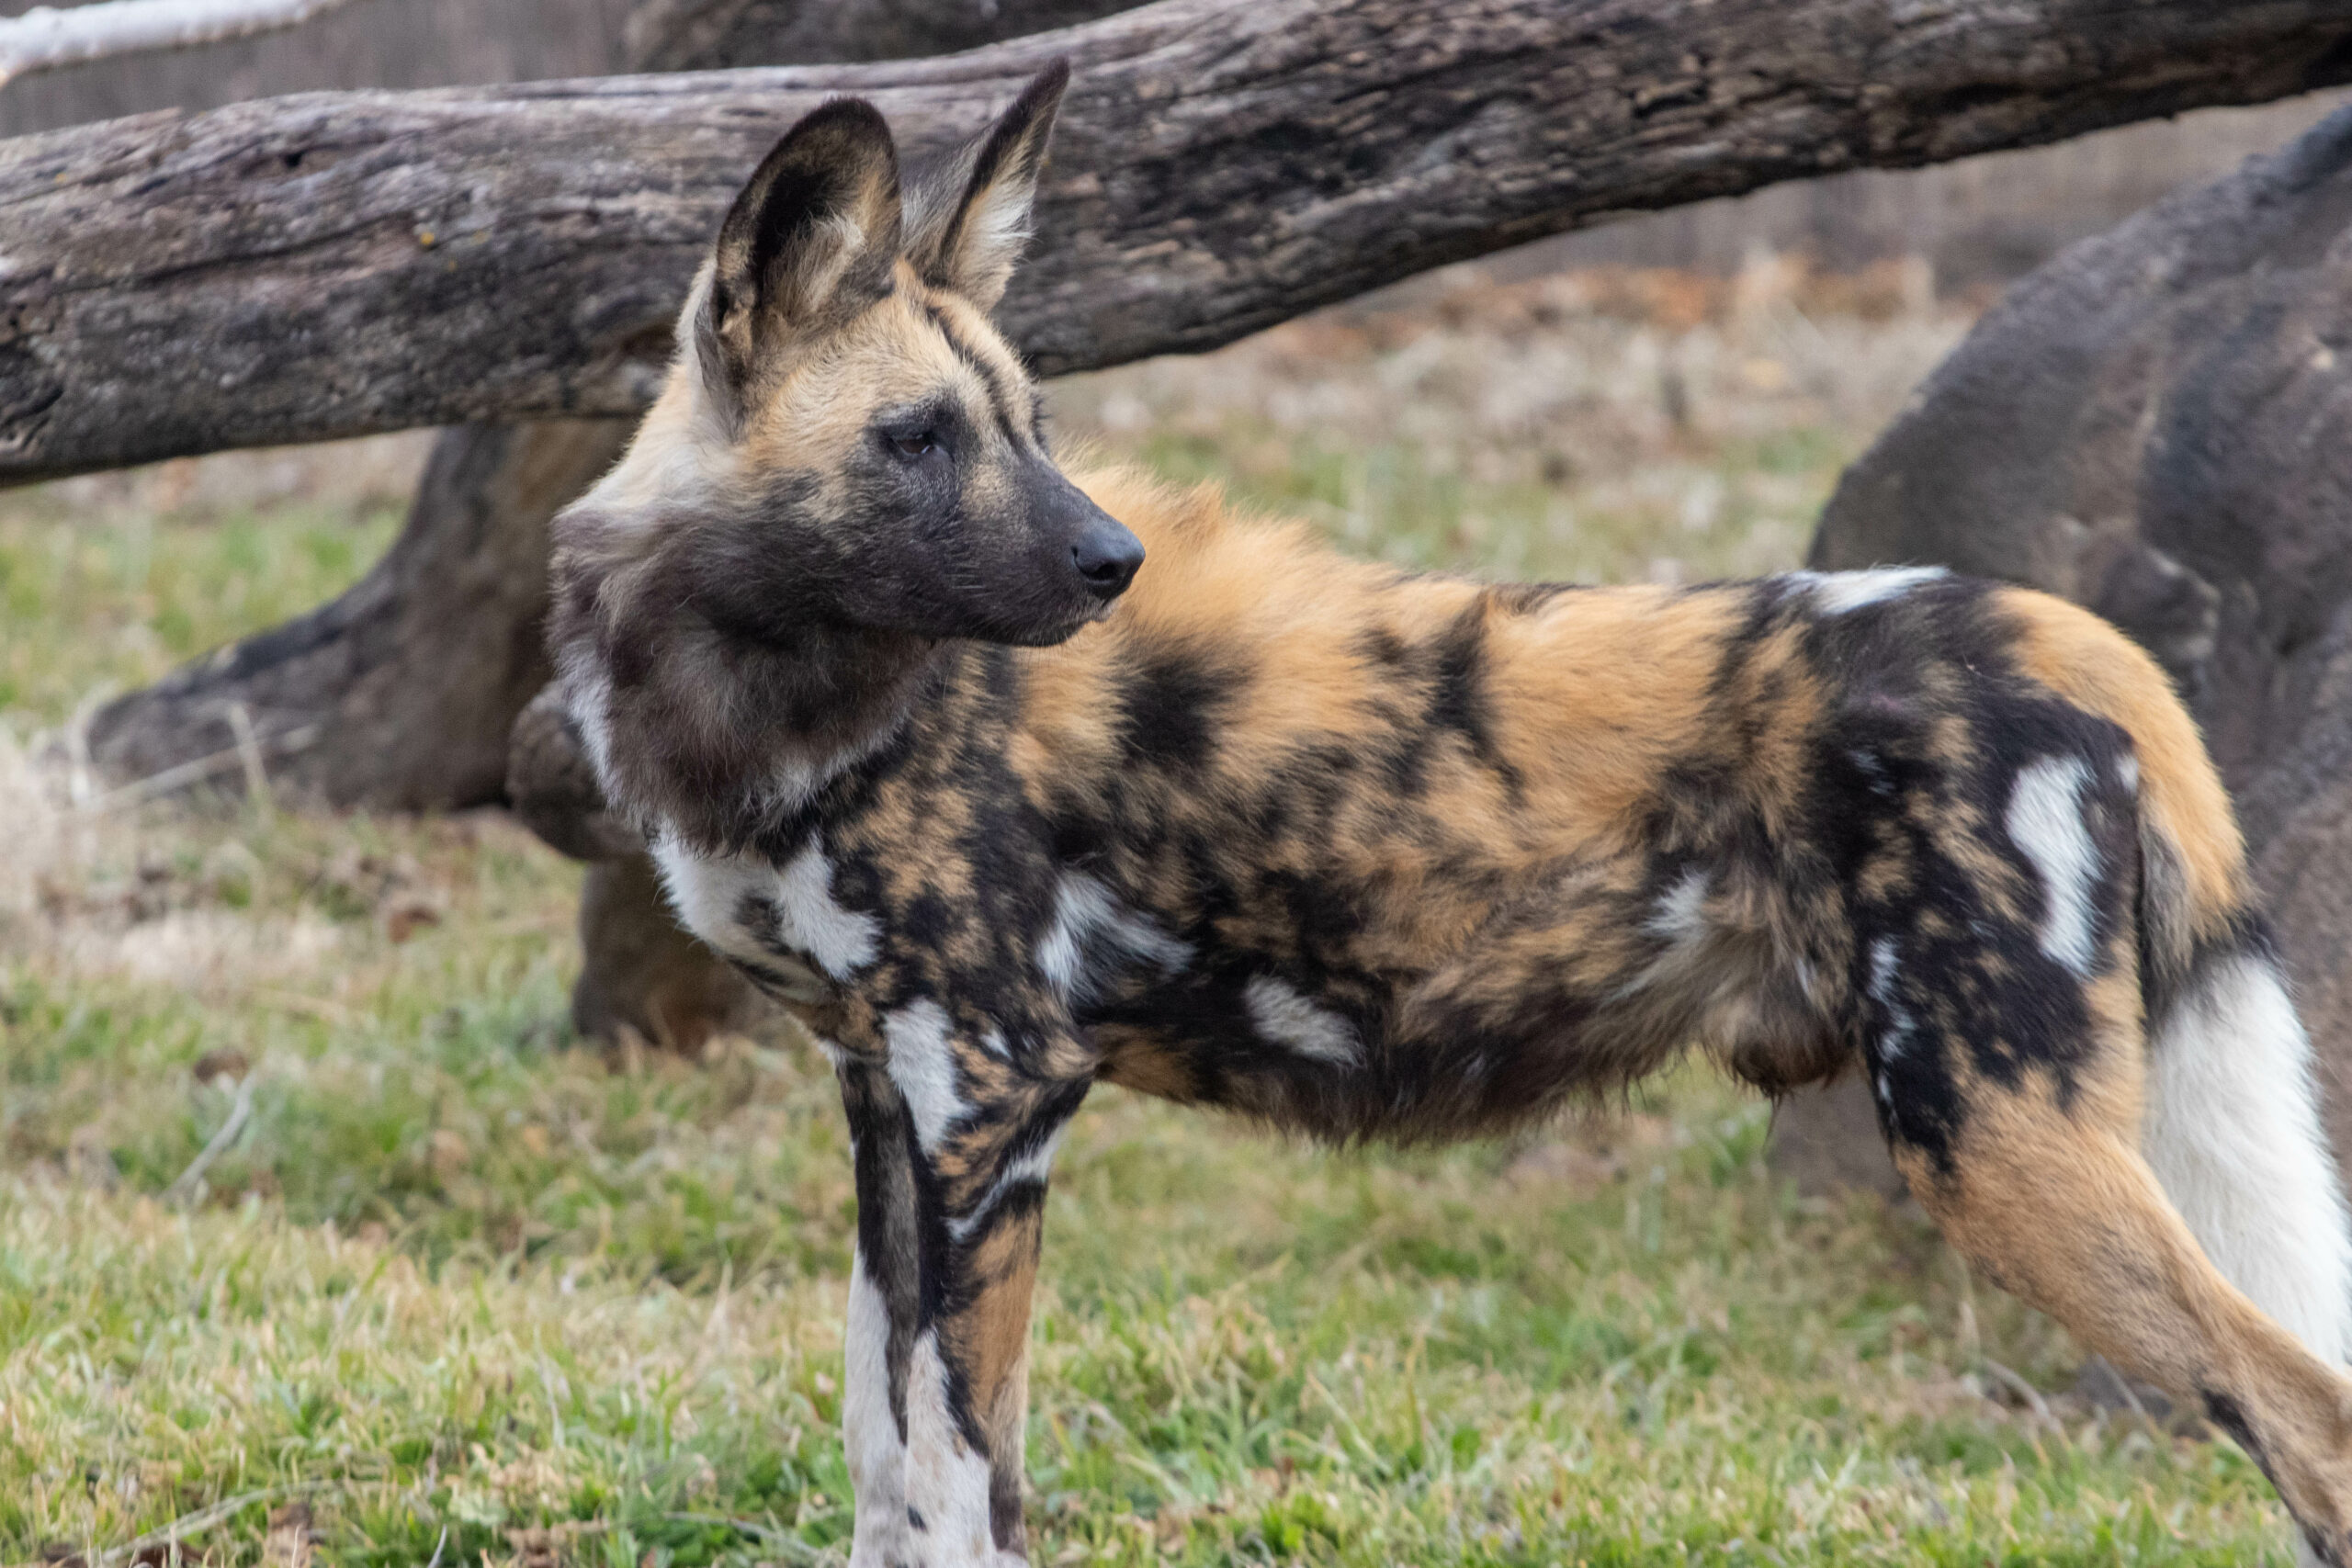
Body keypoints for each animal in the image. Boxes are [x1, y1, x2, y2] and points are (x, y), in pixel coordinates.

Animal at [555, 64, 2352, 1568]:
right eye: (920, 439)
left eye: (1027, 430)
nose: (1108, 558)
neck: (774, 689)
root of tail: (2066, 631)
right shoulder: (888, 1096)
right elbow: (883, 1447)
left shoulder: (995, 1094)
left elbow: (950, 1478)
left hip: (1995, 1136)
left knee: (2303, 1418)